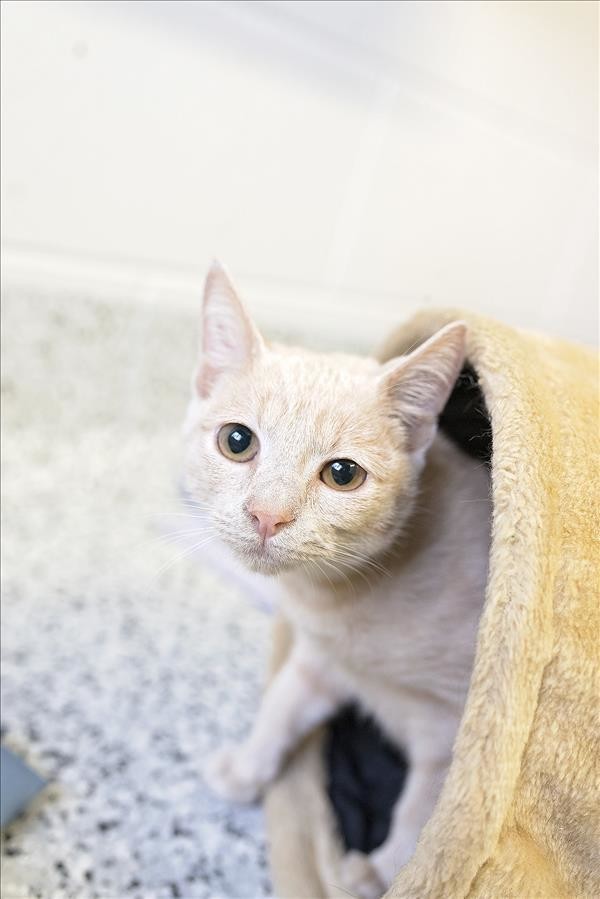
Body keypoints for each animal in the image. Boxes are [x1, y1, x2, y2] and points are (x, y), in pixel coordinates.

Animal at [183, 263, 491, 898]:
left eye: (343, 474)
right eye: (236, 441)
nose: (267, 515)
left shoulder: (458, 723)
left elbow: (427, 806)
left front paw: (384, 868)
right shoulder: (320, 658)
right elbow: (283, 703)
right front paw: (248, 766)